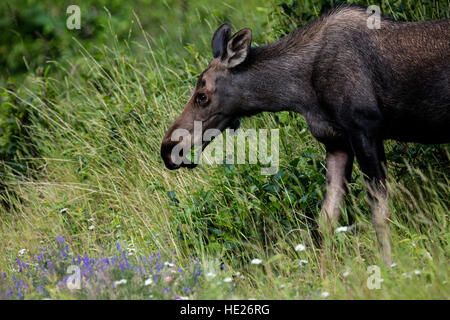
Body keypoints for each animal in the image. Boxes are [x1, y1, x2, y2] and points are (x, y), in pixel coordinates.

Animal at [162, 5, 450, 264]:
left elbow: (379, 212)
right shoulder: (337, 143)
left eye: (202, 95)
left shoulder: (365, 130)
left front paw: (389, 266)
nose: (168, 148)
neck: (300, 93)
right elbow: (326, 219)